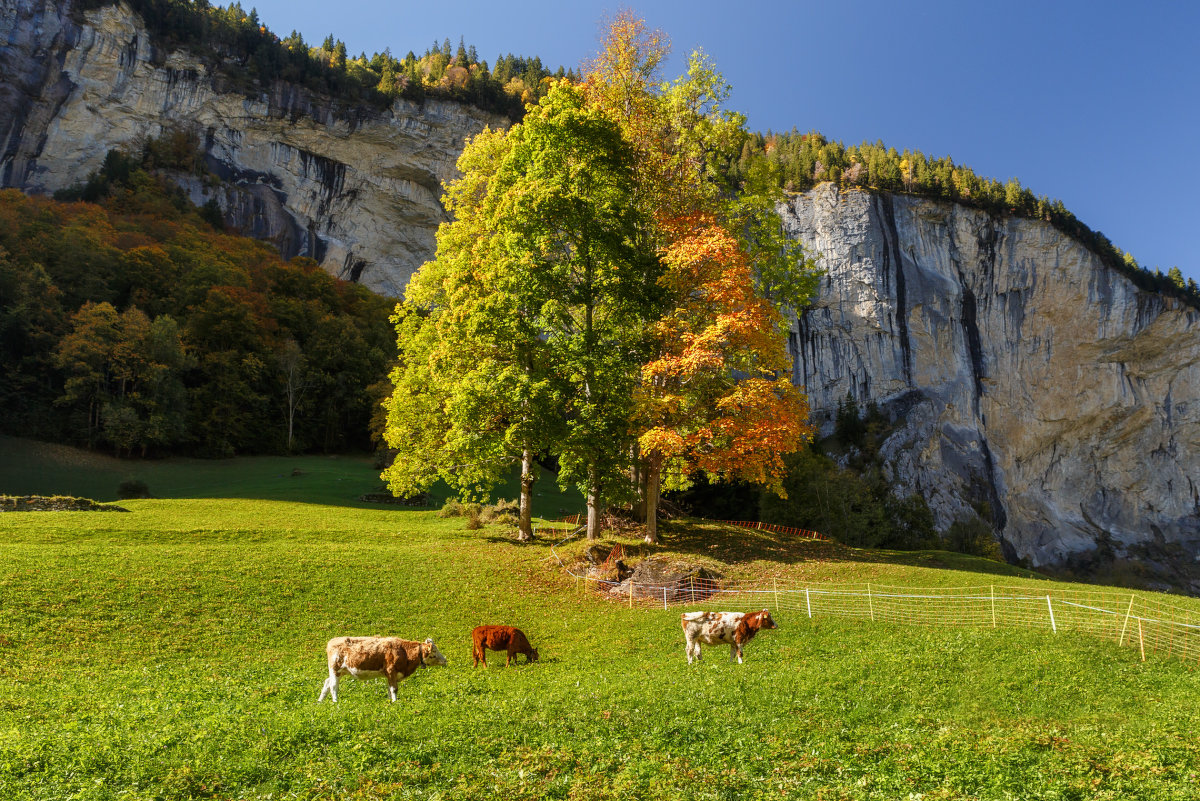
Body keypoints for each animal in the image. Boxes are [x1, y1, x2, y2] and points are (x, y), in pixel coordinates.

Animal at [316, 633, 448, 705]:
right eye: (434, 651)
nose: (445, 660)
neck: (404, 652)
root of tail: (332, 641)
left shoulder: (389, 674)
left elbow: (389, 689)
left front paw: (390, 703)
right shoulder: (391, 671)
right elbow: (394, 689)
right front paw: (395, 702)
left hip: (341, 671)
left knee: (327, 683)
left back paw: (320, 701)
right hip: (335, 669)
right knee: (333, 686)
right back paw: (335, 702)